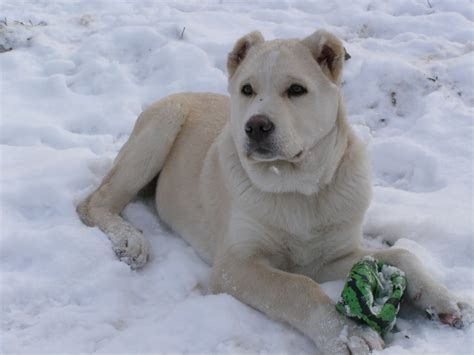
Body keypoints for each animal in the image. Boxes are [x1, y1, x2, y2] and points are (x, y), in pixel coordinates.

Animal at [78, 31, 470, 355]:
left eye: (296, 90)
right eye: (247, 90)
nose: (256, 127)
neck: (300, 190)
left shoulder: (330, 255)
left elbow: (402, 254)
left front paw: (445, 300)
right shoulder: (234, 265)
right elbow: (296, 286)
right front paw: (347, 333)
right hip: (162, 125)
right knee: (94, 202)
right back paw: (130, 240)